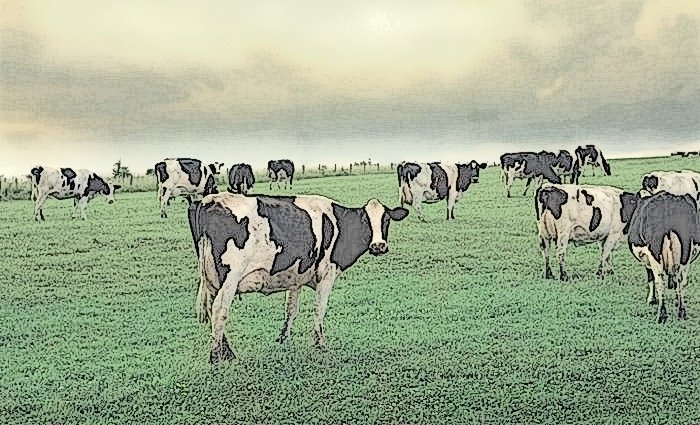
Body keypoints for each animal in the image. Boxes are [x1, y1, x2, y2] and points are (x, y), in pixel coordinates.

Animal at [187, 192, 409, 362]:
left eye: (386, 219)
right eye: (365, 220)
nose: (378, 246)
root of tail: (210, 199)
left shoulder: (296, 278)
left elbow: (291, 310)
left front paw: (283, 339)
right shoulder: (327, 275)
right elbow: (319, 310)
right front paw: (320, 344)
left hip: (212, 279)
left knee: (212, 309)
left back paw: (227, 352)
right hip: (229, 278)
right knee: (219, 311)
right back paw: (216, 357)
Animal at [627, 191, 700, 323]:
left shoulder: (647, 258)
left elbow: (650, 278)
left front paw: (651, 300)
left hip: (655, 252)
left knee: (660, 280)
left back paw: (662, 315)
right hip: (686, 253)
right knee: (681, 279)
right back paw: (681, 311)